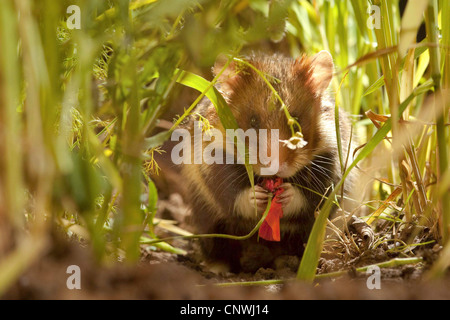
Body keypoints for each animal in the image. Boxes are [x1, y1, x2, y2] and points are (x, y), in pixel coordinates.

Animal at [178, 50, 356, 272]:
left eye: (296, 122)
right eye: (253, 122)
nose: (275, 168)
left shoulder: (330, 165)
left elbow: (309, 196)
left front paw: (286, 194)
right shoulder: (211, 161)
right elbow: (233, 194)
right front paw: (258, 196)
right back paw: (217, 268)